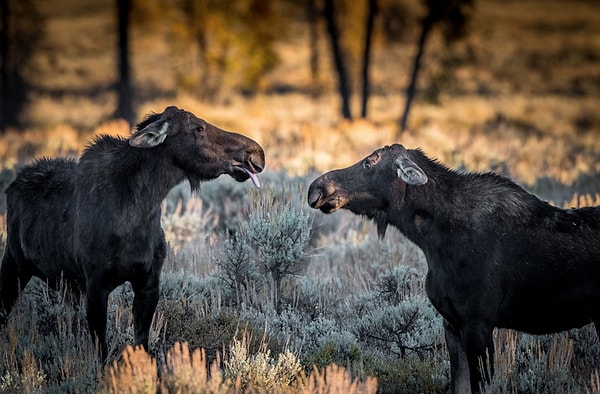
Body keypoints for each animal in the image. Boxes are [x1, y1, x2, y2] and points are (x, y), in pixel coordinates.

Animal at [0, 106, 264, 362]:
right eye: (198, 127)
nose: (256, 153)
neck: (140, 213)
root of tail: (11, 186)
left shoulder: (148, 281)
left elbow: (141, 344)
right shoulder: (96, 284)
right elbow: (101, 353)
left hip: (66, 286)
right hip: (14, 264)